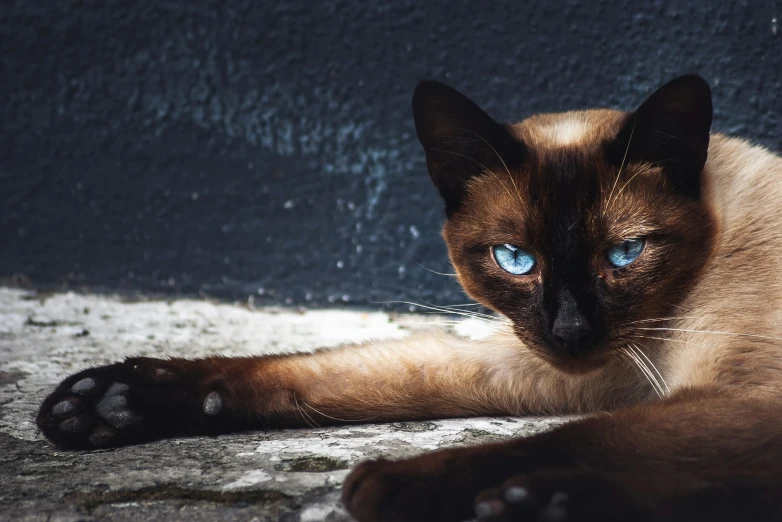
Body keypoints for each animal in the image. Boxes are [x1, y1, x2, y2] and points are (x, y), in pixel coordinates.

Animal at [38, 74, 782, 520]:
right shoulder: (566, 367)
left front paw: (383, 485)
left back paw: (531, 502)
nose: (570, 331)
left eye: (623, 256)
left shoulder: (740, 392)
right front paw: (106, 402)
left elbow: (581, 436)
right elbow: (342, 375)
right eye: (516, 260)